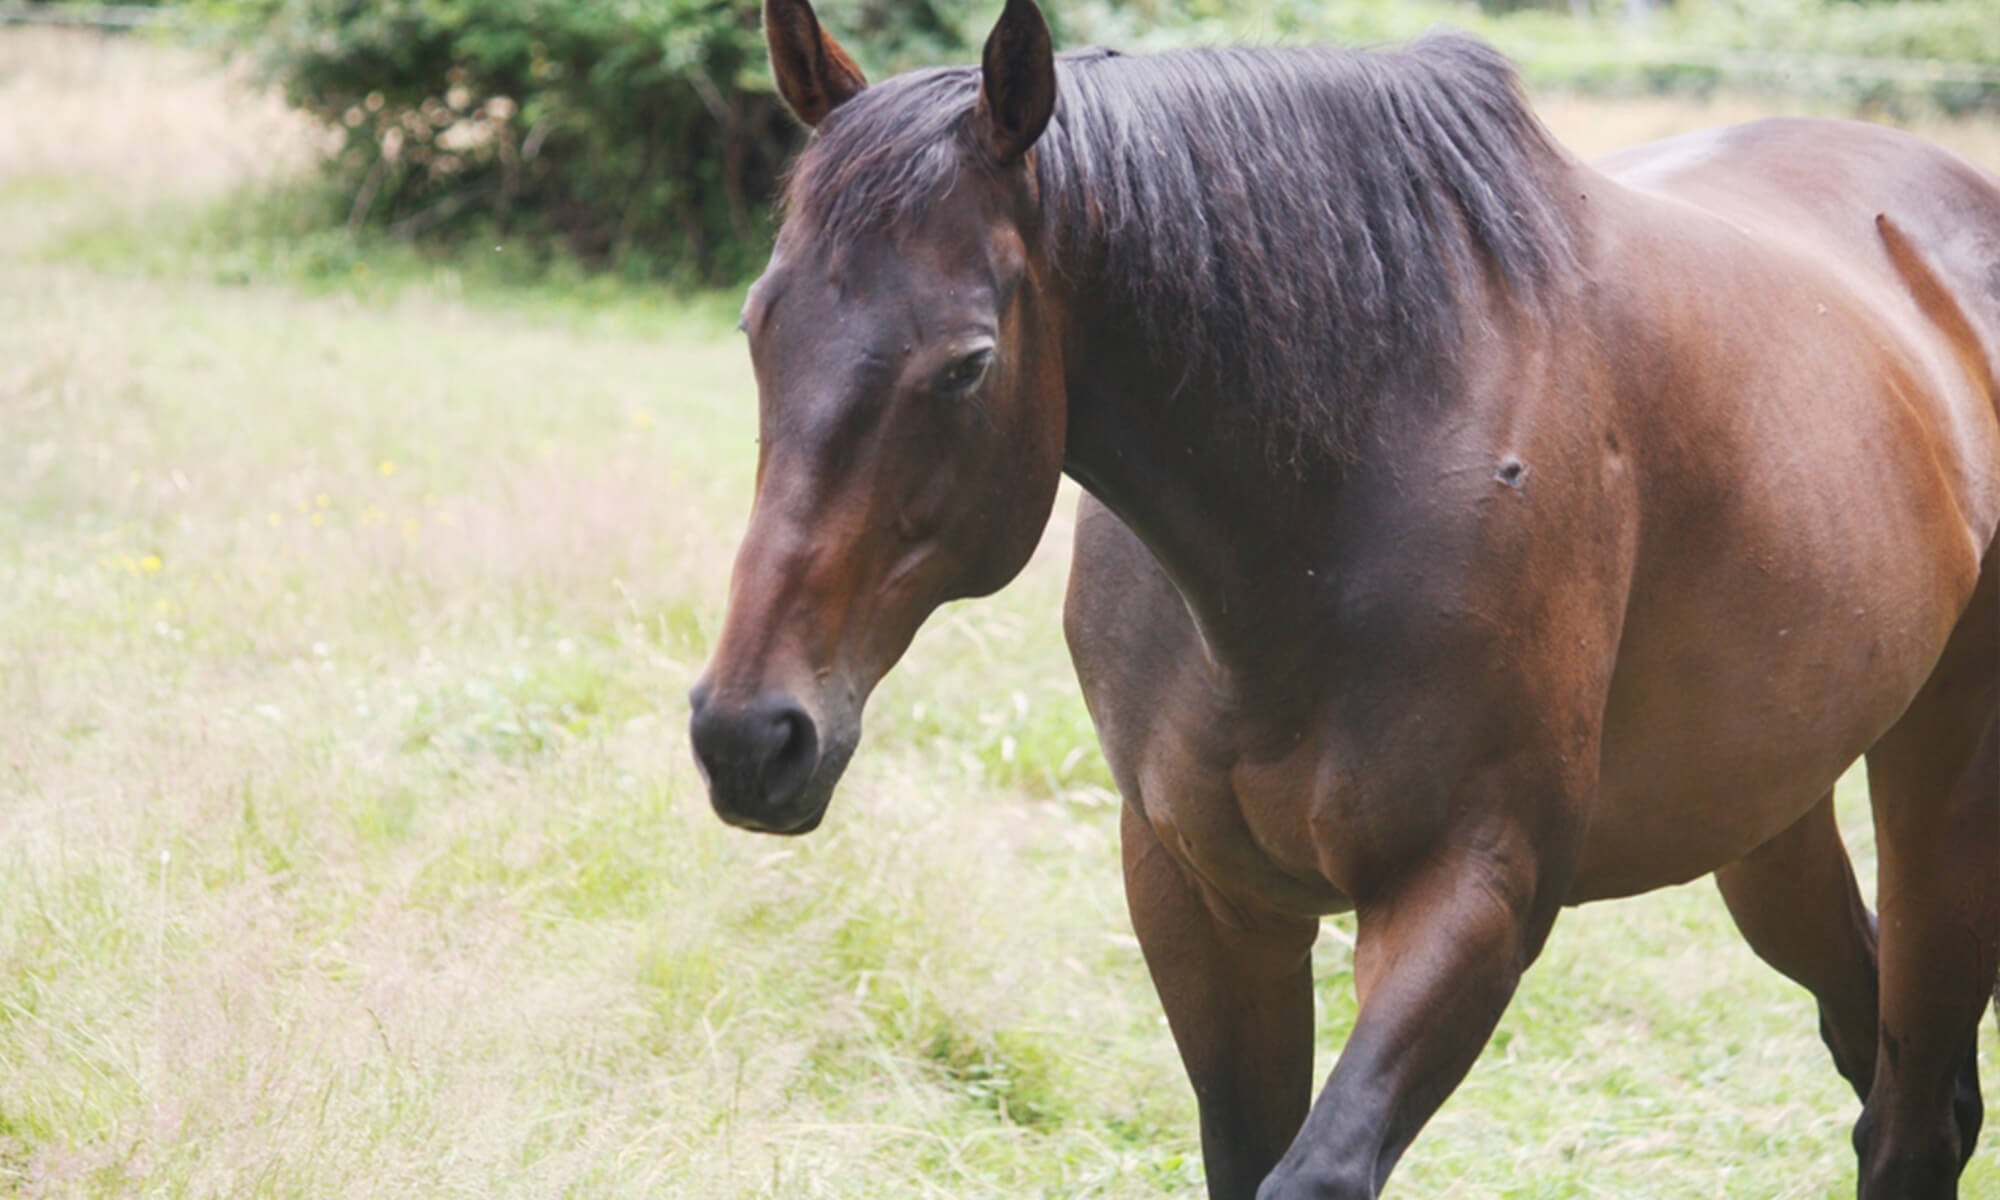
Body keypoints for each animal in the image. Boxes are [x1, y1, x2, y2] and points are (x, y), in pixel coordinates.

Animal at [687, 0, 2000, 1193]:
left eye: (966, 365)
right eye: (756, 324)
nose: (749, 736)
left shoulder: (1471, 890)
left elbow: (1313, 1170)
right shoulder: (1202, 899)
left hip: (1940, 791)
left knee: (1910, 1116)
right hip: (1765, 814)